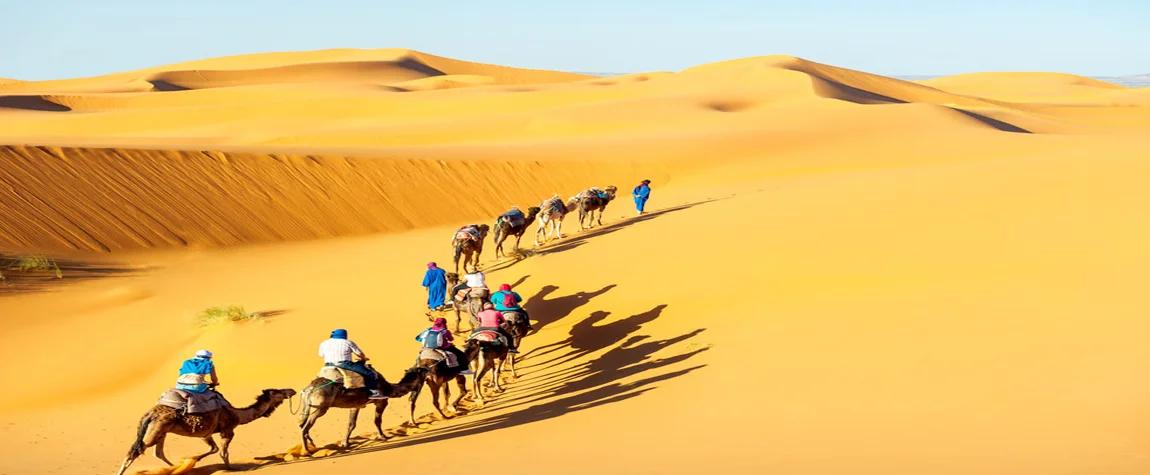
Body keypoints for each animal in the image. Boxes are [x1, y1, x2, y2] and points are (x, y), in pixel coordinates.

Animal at [115, 386, 296, 471]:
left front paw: (192, 459)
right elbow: (223, 452)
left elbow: (214, 449)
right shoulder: (228, 430)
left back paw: (175, 467)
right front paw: (231, 469)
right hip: (155, 432)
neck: (238, 414)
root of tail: (149, 414)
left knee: (157, 452)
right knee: (133, 453)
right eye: (277, 391)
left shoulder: (205, 433)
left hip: (160, 432)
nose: (292, 390)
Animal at [299, 365, 430, 453]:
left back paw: (311, 445)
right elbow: (377, 421)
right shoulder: (382, 402)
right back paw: (307, 451)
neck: (389, 388)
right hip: (320, 408)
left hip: (309, 406)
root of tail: (309, 388)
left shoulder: (356, 405)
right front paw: (383, 436)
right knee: (305, 426)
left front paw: (345, 443)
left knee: (302, 423)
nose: (430, 369)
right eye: (422, 370)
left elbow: (351, 424)